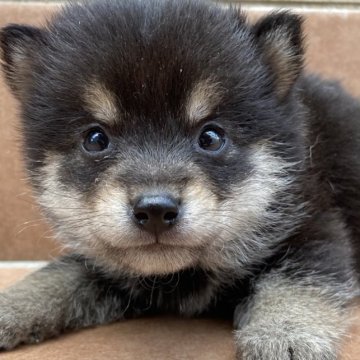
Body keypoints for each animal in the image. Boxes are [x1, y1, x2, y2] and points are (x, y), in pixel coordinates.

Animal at [0, 1, 360, 358]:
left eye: (211, 138)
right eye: (96, 139)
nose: (155, 210)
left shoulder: (314, 225)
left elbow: (296, 280)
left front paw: (285, 335)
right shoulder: (105, 266)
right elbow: (62, 272)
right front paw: (13, 304)